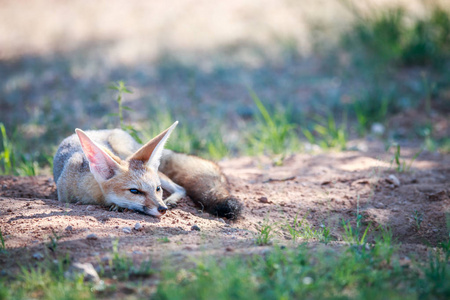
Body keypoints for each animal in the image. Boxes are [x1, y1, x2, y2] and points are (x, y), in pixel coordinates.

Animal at [52, 120, 243, 219]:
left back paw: (172, 199)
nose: (162, 209)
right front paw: (116, 205)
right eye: (134, 191)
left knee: (181, 187)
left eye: (157, 189)